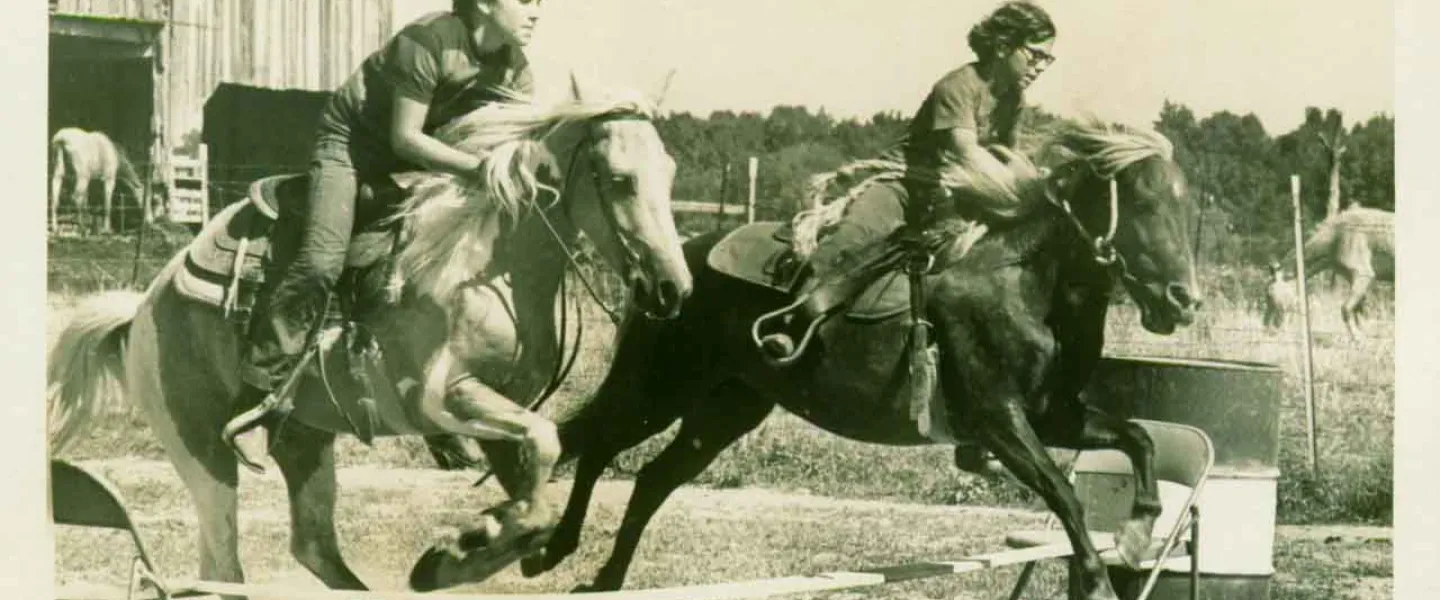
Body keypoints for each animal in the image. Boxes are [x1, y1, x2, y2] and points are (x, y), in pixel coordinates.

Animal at [45, 77, 692, 597]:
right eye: (620, 180)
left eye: (669, 177)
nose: (673, 289)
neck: (476, 260)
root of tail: (142, 309)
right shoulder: (438, 396)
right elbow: (545, 444)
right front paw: (453, 555)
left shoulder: (504, 414)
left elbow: (539, 492)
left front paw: (468, 547)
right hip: (200, 450)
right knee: (222, 568)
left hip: (304, 441)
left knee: (312, 546)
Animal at [521, 121, 1199, 600]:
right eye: (1141, 202)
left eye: (1181, 203)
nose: (1183, 300)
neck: (1026, 283)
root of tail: (671, 270)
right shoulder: (999, 421)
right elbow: (1062, 490)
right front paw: (1097, 579)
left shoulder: (1054, 415)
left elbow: (1137, 438)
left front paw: (1138, 529)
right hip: (660, 388)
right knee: (594, 444)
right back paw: (549, 551)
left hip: (726, 408)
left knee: (650, 478)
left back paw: (604, 579)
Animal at [1274, 205, 1394, 340]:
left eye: (1270, 295)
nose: (1274, 328)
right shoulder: (1352, 277)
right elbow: (1357, 309)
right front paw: (1362, 334)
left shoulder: (1364, 273)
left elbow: (1345, 309)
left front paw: (1358, 337)